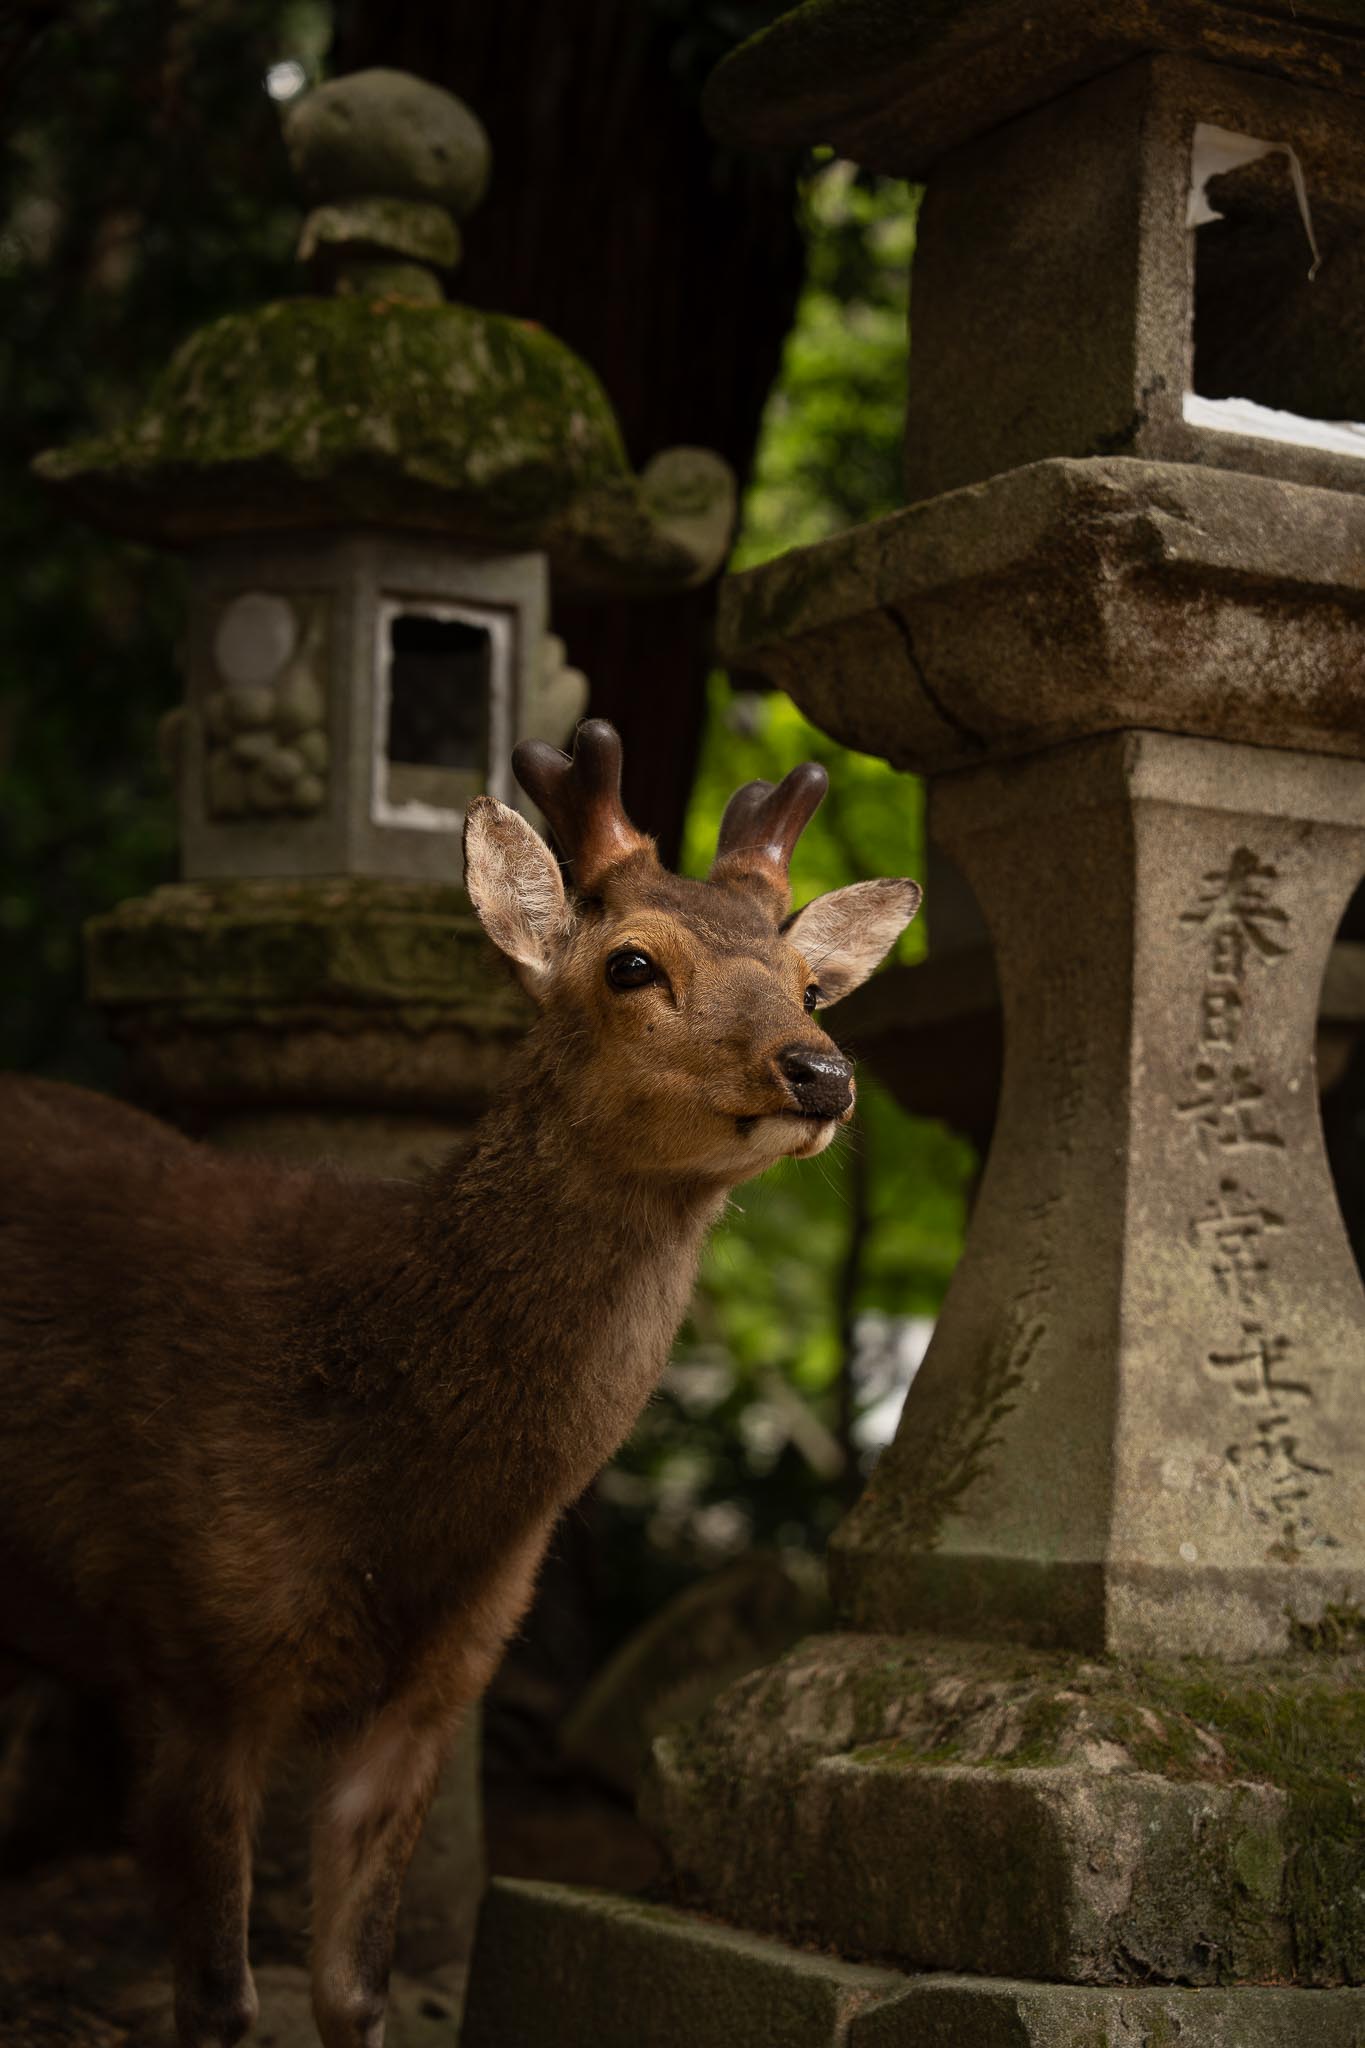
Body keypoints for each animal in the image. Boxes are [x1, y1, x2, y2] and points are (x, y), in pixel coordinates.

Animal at [0, 720, 920, 2048]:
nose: (820, 1070)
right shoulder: (191, 1649)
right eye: (632, 962)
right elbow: (221, 2001)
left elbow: (356, 1987)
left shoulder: (443, 1686)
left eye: (808, 981)